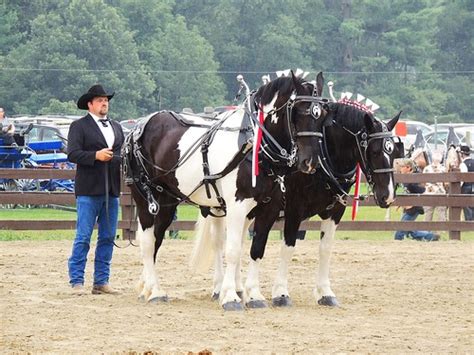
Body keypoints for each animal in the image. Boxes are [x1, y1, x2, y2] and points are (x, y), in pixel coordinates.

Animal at [124, 71, 328, 308]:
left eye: (323, 114)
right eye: (298, 111)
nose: (310, 162)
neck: (254, 145)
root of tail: (140, 126)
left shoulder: (268, 208)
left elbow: (257, 249)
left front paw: (254, 295)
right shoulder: (237, 206)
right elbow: (233, 250)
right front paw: (230, 296)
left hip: (167, 202)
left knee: (156, 239)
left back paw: (147, 288)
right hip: (145, 199)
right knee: (148, 243)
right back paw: (155, 291)